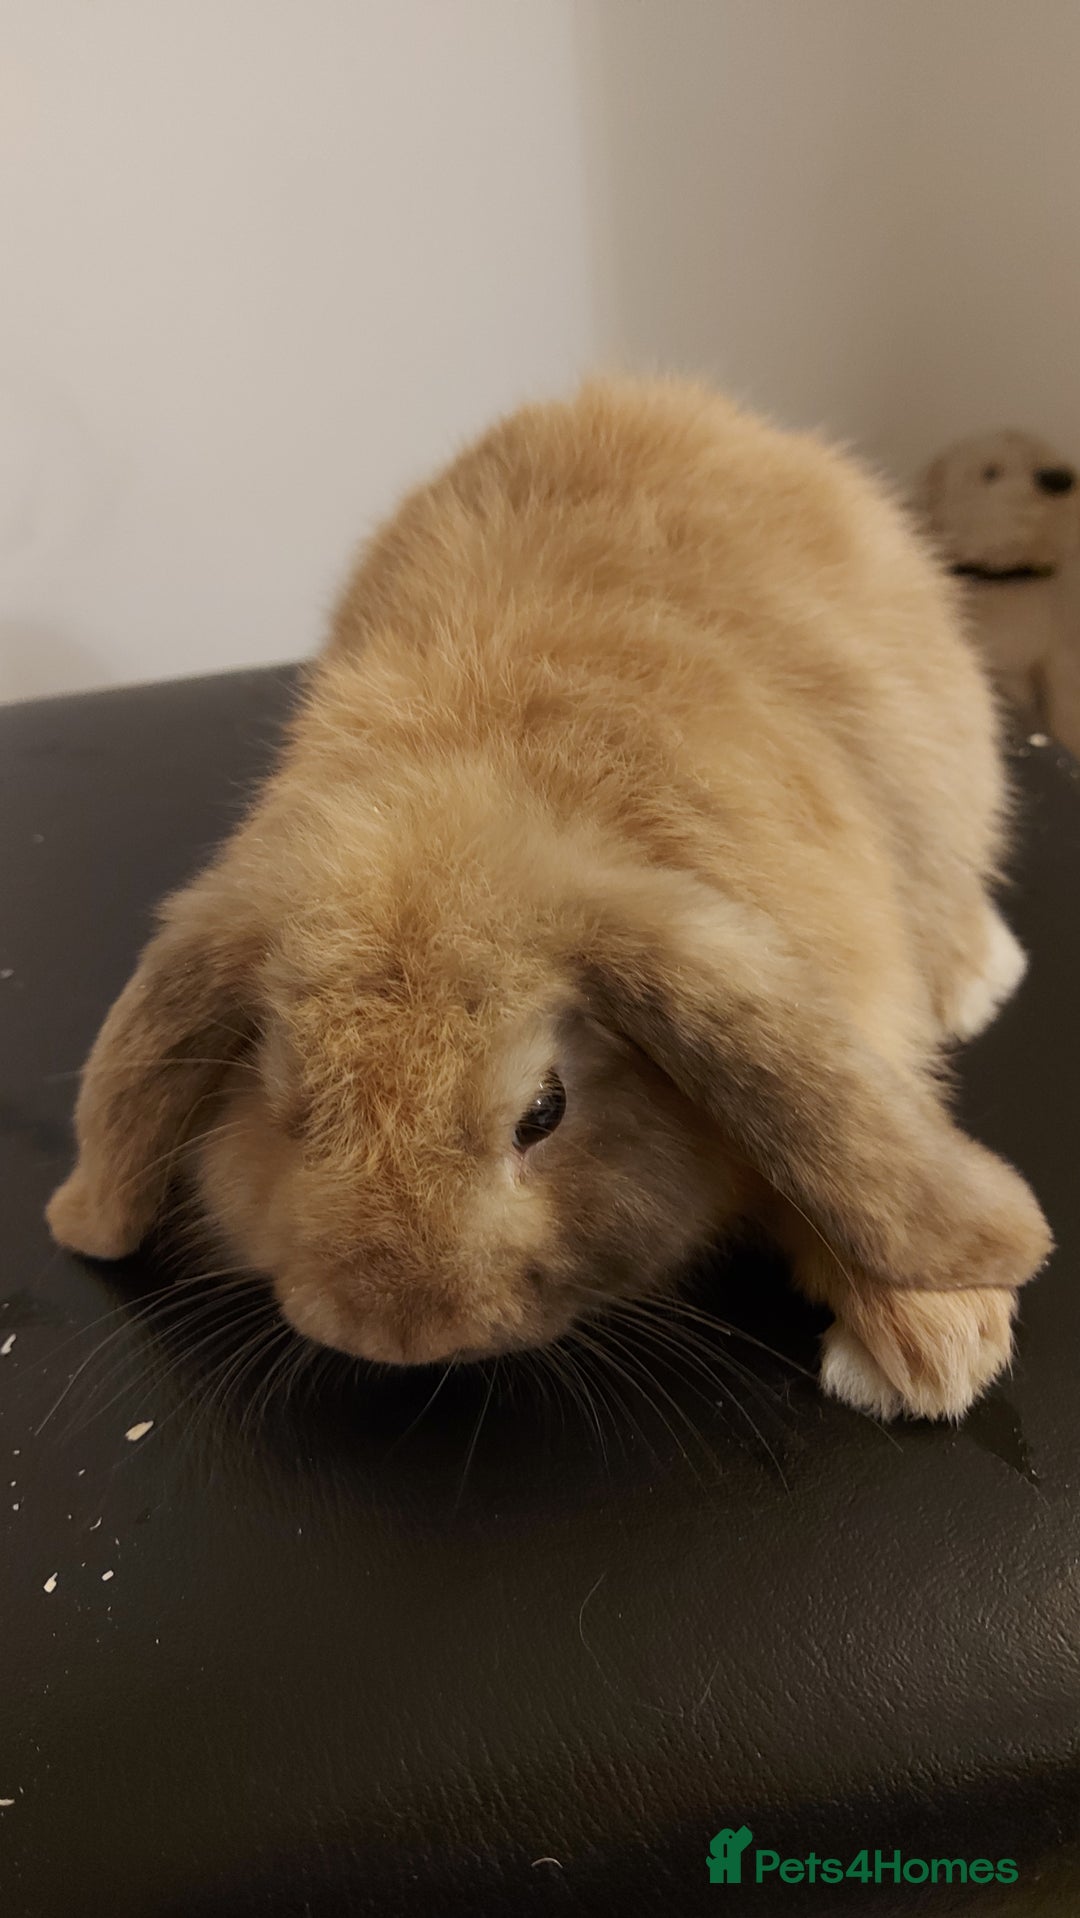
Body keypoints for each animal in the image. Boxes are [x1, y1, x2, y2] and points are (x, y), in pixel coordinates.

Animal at [47, 376, 1052, 1421]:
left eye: (545, 1112)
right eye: (283, 1100)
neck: (477, 787)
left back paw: (978, 975)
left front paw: (933, 1351)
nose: (397, 1332)